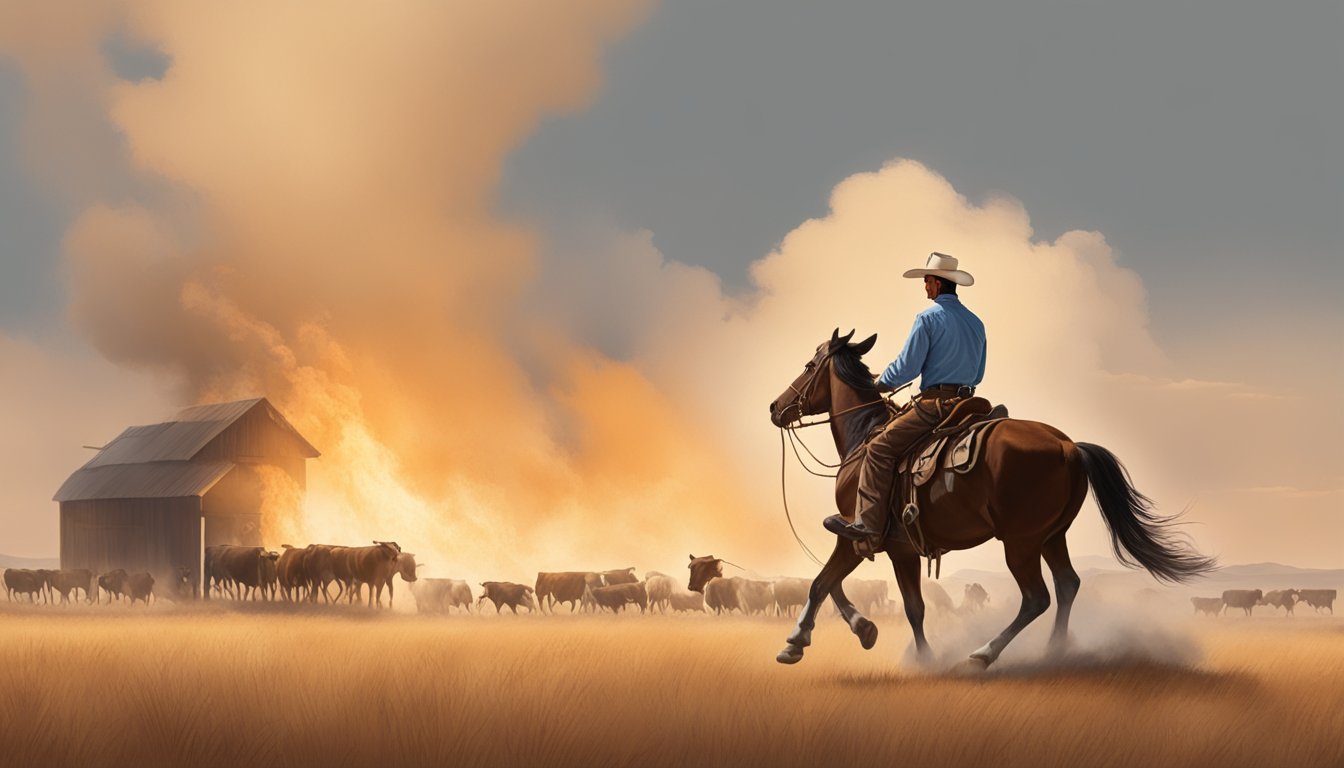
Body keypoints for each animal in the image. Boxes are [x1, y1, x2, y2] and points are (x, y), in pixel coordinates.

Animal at [763, 330, 1214, 672]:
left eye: (809, 366)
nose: (775, 406)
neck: (866, 436)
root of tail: (1068, 446)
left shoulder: (860, 533)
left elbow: (827, 584)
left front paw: (800, 641)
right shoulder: (896, 547)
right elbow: (890, 600)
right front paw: (874, 634)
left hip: (1021, 542)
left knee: (1037, 597)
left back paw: (982, 654)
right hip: (1052, 536)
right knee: (1067, 584)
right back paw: (1055, 651)